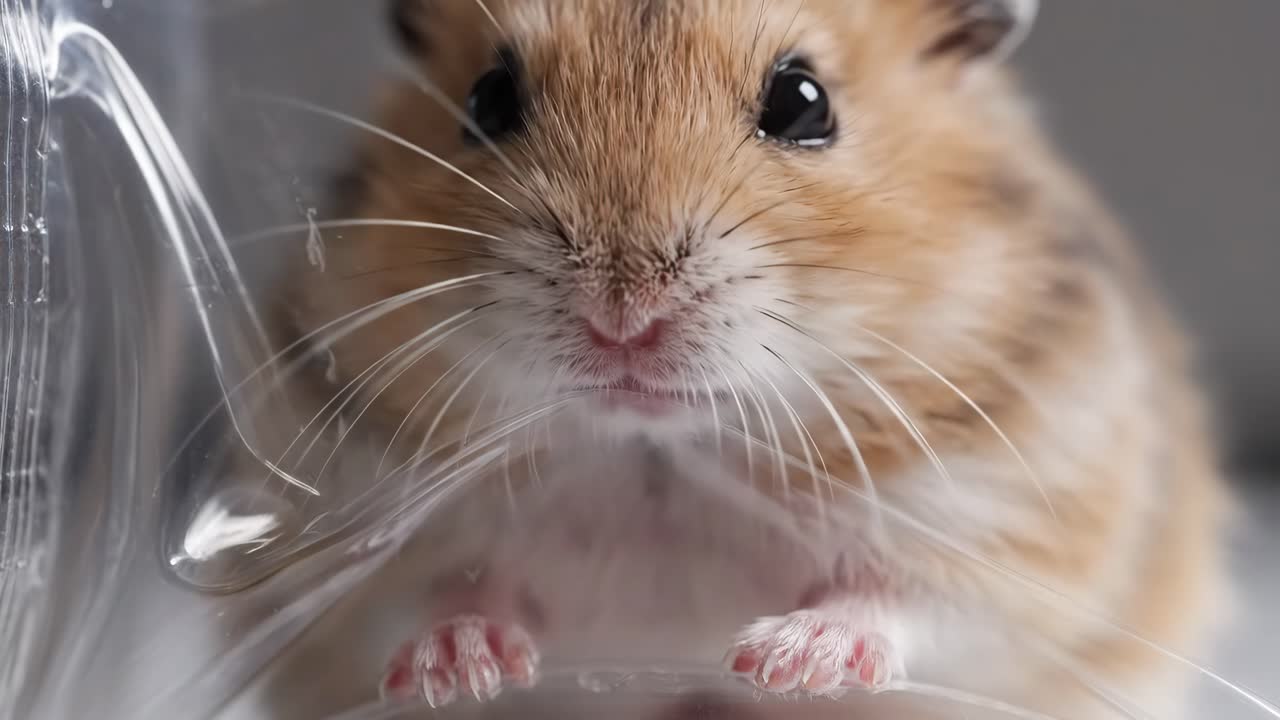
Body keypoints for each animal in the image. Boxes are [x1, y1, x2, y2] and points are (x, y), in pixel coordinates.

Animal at [244, 1, 1230, 718]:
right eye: (487, 101)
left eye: (803, 102)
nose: (622, 319)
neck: (656, 454)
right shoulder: (338, 529)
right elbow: (417, 598)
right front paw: (468, 672)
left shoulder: (1015, 518)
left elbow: (910, 599)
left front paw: (774, 663)